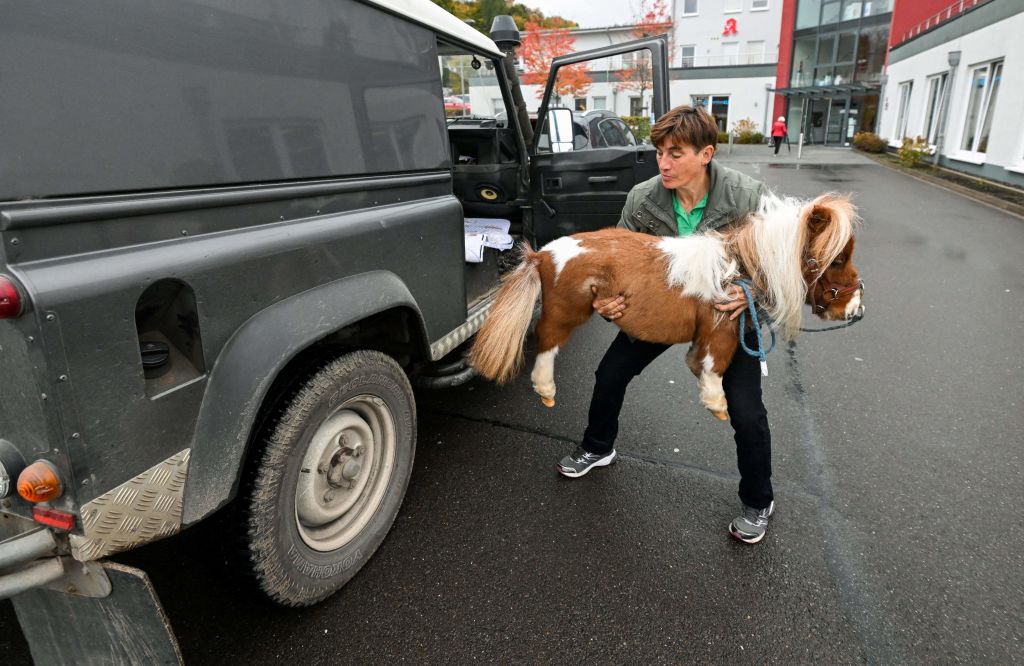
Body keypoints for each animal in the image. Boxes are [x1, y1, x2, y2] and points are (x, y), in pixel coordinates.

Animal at [471, 191, 864, 418]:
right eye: (837, 258)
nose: (856, 307)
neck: (734, 269)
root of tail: (542, 254)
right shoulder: (720, 330)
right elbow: (714, 365)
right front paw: (716, 403)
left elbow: (698, 360)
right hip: (566, 313)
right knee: (546, 343)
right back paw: (546, 390)